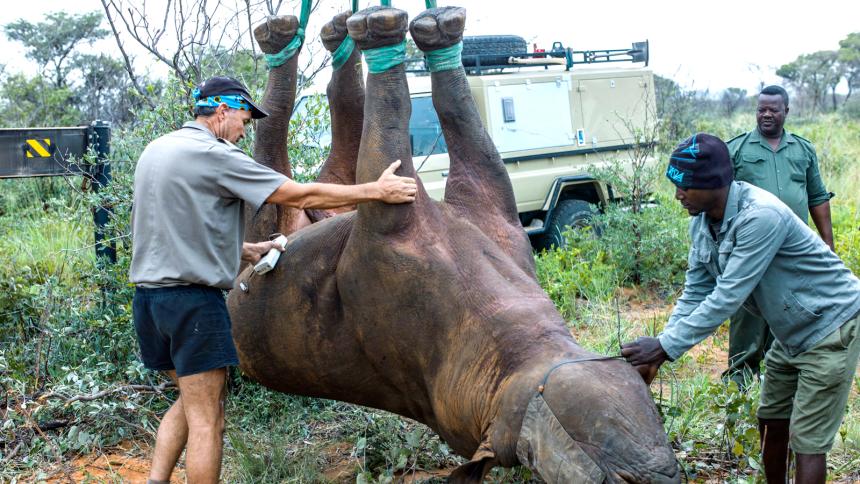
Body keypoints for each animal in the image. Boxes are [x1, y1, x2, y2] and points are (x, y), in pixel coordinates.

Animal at [230, 5, 680, 482]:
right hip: (265, 225)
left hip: (305, 206)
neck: (511, 344)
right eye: (619, 478)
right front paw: (408, 36)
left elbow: (439, 125)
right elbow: (415, 122)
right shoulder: (412, 221)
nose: (659, 473)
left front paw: (430, 37)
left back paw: (329, 35)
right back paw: (304, 37)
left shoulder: (479, 216)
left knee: (332, 119)